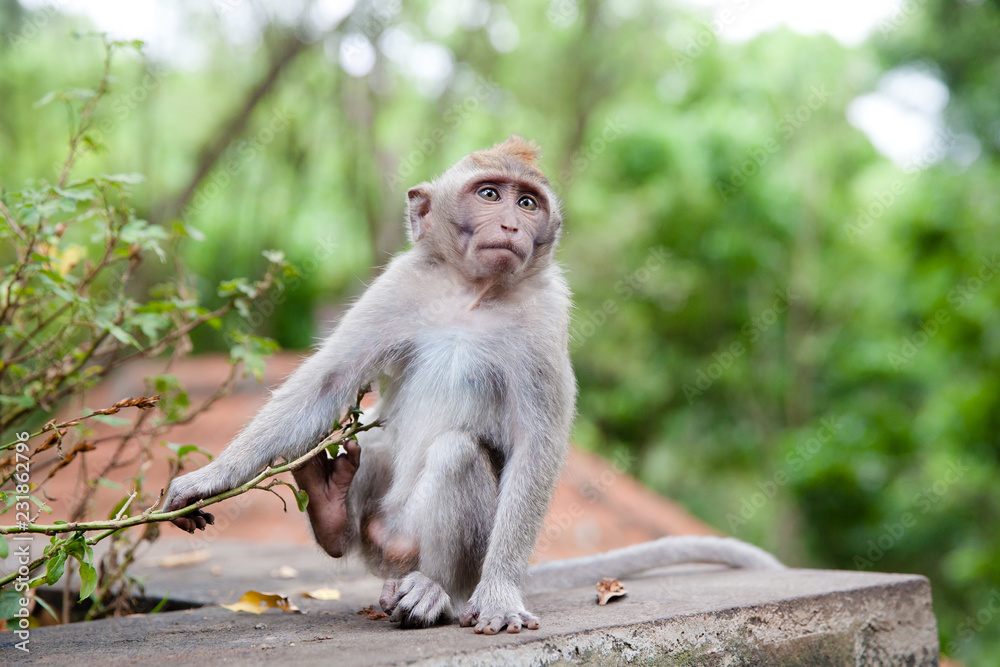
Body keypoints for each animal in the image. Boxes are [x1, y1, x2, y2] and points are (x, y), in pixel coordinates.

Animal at [164, 136, 784, 636]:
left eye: (527, 203)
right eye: (490, 194)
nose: (510, 224)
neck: (473, 294)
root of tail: (393, 553)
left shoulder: (545, 318)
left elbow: (536, 443)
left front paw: (501, 593)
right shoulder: (401, 284)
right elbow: (327, 383)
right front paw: (208, 479)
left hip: (449, 551)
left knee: (458, 457)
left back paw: (435, 593)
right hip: (380, 529)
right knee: (377, 446)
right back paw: (331, 510)